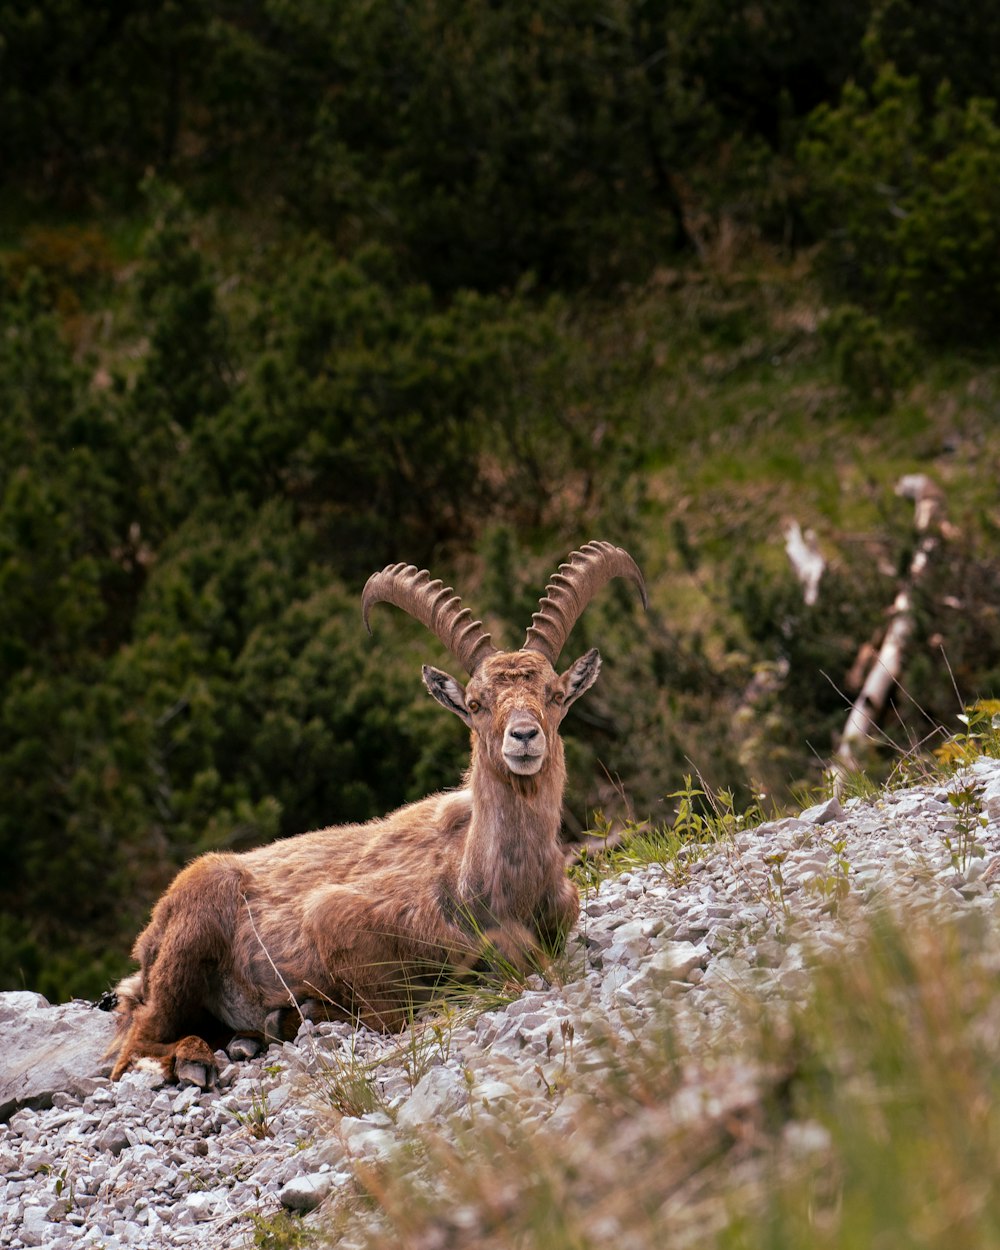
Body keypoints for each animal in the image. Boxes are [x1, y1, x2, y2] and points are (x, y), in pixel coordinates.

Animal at [107, 537, 640, 1085]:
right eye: (475, 703)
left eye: (555, 695)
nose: (524, 736)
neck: (489, 888)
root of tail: (145, 946)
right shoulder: (335, 917)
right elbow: (394, 1006)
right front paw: (307, 1011)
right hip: (190, 936)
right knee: (131, 1047)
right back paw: (200, 1057)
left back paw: (245, 1039)